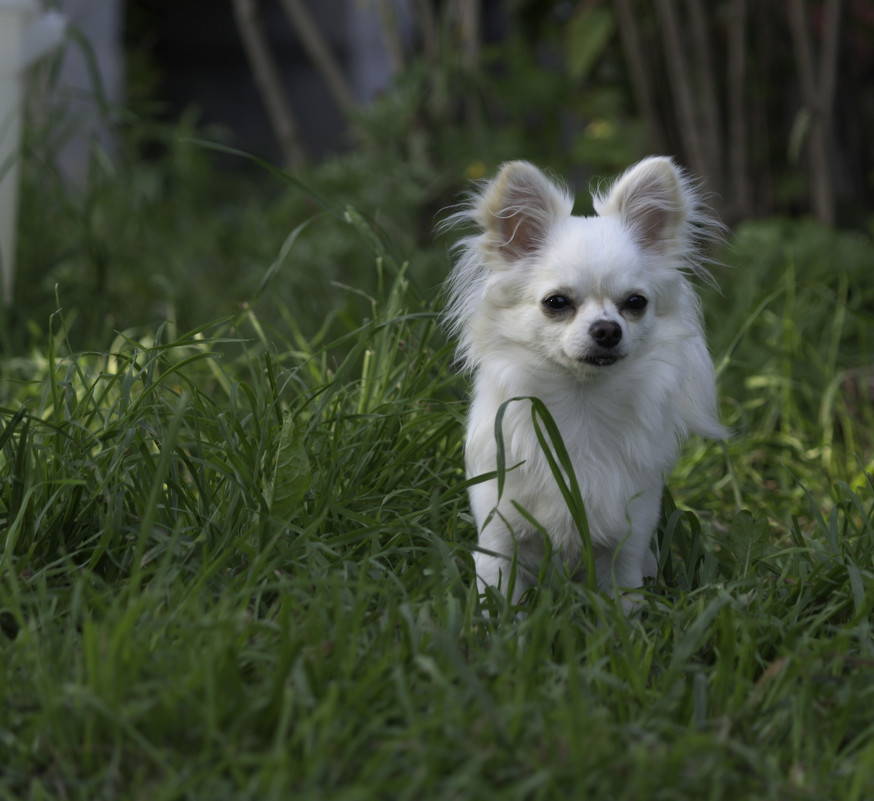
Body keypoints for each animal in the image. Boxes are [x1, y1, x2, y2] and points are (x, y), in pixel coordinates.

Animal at [442, 156, 724, 612]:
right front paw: (496, 625)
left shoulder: (627, 543)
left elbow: (624, 603)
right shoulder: (499, 538)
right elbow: (499, 597)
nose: (607, 330)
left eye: (635, 303)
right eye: (556, 303)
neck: (581, 406)